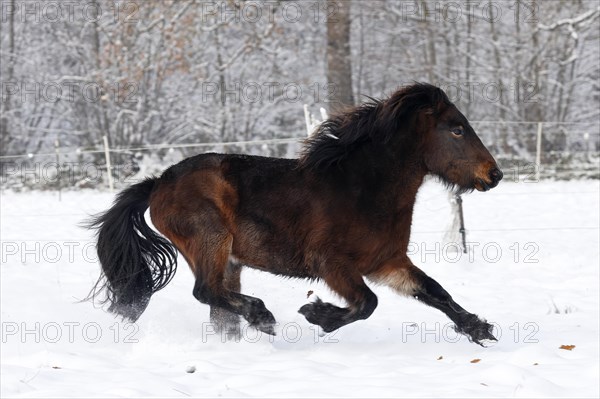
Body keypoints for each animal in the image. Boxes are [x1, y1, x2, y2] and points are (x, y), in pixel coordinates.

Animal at [88, 83, 502, 346]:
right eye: (457, 130)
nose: (493, 175)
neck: (362, 189)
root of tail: (158, 183)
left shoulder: (387, 262)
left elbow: (435, 291)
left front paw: (478, 328)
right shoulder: (331, 264)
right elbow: (367, 303)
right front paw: (318, 314)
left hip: (230, 261)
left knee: (219, 309)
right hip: (210, 242)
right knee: (205, 291)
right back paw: (263, 316)